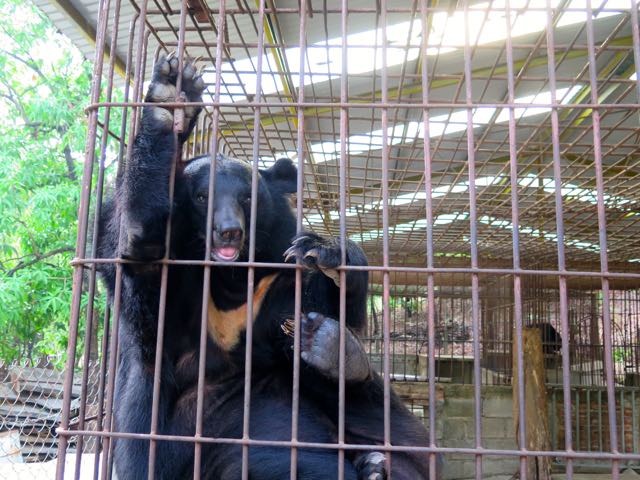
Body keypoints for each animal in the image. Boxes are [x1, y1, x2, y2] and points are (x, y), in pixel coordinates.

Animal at [97, 53, 438, 480]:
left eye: (247, 197)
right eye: (201, 197)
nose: (229, 232)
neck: (230, 279)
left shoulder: (278, 275)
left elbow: (331, 300)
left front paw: (326, 252)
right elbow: (143, 256)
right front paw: (170, 97)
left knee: (389, 424)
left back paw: (341, 366)